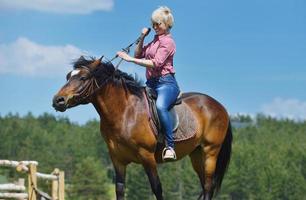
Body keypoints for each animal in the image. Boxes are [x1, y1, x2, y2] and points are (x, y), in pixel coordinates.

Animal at [52, 55, 232, 200]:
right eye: (68, 76)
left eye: (83, 77)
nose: (57, 101)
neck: (125, 112)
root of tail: (220, 106)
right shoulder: (117, 160)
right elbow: (120, 190)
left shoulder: (147, 157)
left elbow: (157, 188)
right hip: (196, 153)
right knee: (204, 184)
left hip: (210, 151)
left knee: (208, 186)